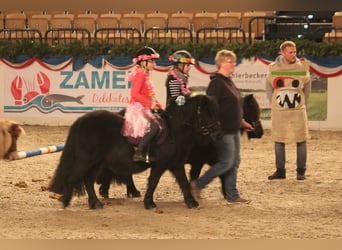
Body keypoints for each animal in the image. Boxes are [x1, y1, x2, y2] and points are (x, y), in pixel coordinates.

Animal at [50, 94, 222, 210]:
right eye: (205, 111)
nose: (217, 132)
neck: (174, 130)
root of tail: (82, 120)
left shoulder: (175, 163)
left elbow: (184, 182)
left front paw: (192, 202)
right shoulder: (160, 164)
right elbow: (153, 182)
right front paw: (149, 203)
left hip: (98, 162)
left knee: (88, 180)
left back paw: (95, 203)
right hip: (86, 159)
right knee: (74, 176)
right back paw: (65, 201)